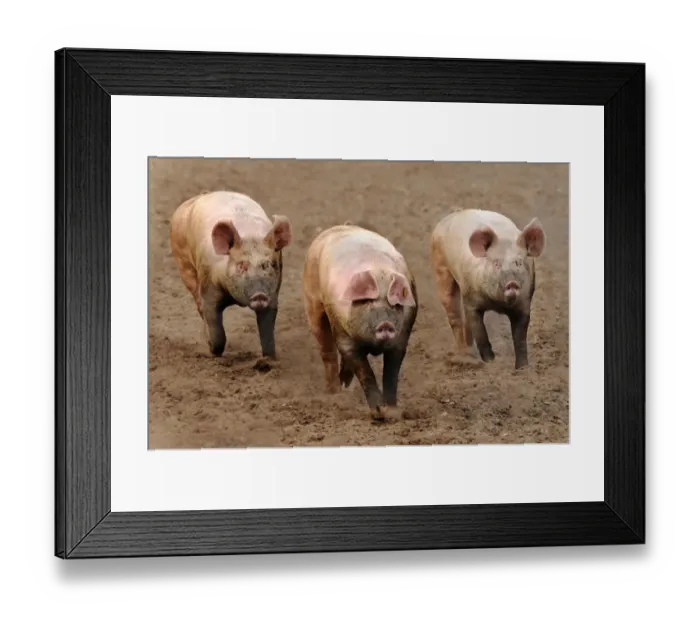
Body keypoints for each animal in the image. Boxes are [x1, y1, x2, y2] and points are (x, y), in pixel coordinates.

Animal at [169, 190, 292, 359]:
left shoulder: (273, 292)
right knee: (198, 303)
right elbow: (214, 323)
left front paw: (269, 359)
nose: (259, 294)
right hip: (184, 263)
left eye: (269, 264)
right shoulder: (208, 284)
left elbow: (267, 329)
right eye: (241, 265)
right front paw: (214, 352)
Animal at [302, 224, 418, 421]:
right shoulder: (342, 331)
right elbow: (364, 370)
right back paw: (334, 393)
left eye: (394, 304)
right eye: (368, 301)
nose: (386, 324)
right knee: (327, 351)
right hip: (313, 302)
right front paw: (378, 413)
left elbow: (391, 373)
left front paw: (393, 414)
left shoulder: (402, 337)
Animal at [429, 208, 546, 369]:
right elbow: (480, 331)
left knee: (465, 323)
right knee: (455, 316)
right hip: (441, 267)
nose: (512, 283)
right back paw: (464, 357)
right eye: (496, 263)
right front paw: (491, 361)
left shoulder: (525, 303)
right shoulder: (470, 298)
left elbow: (520, 338)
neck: (497, 304)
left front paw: (522, 369)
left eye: (519, 263)